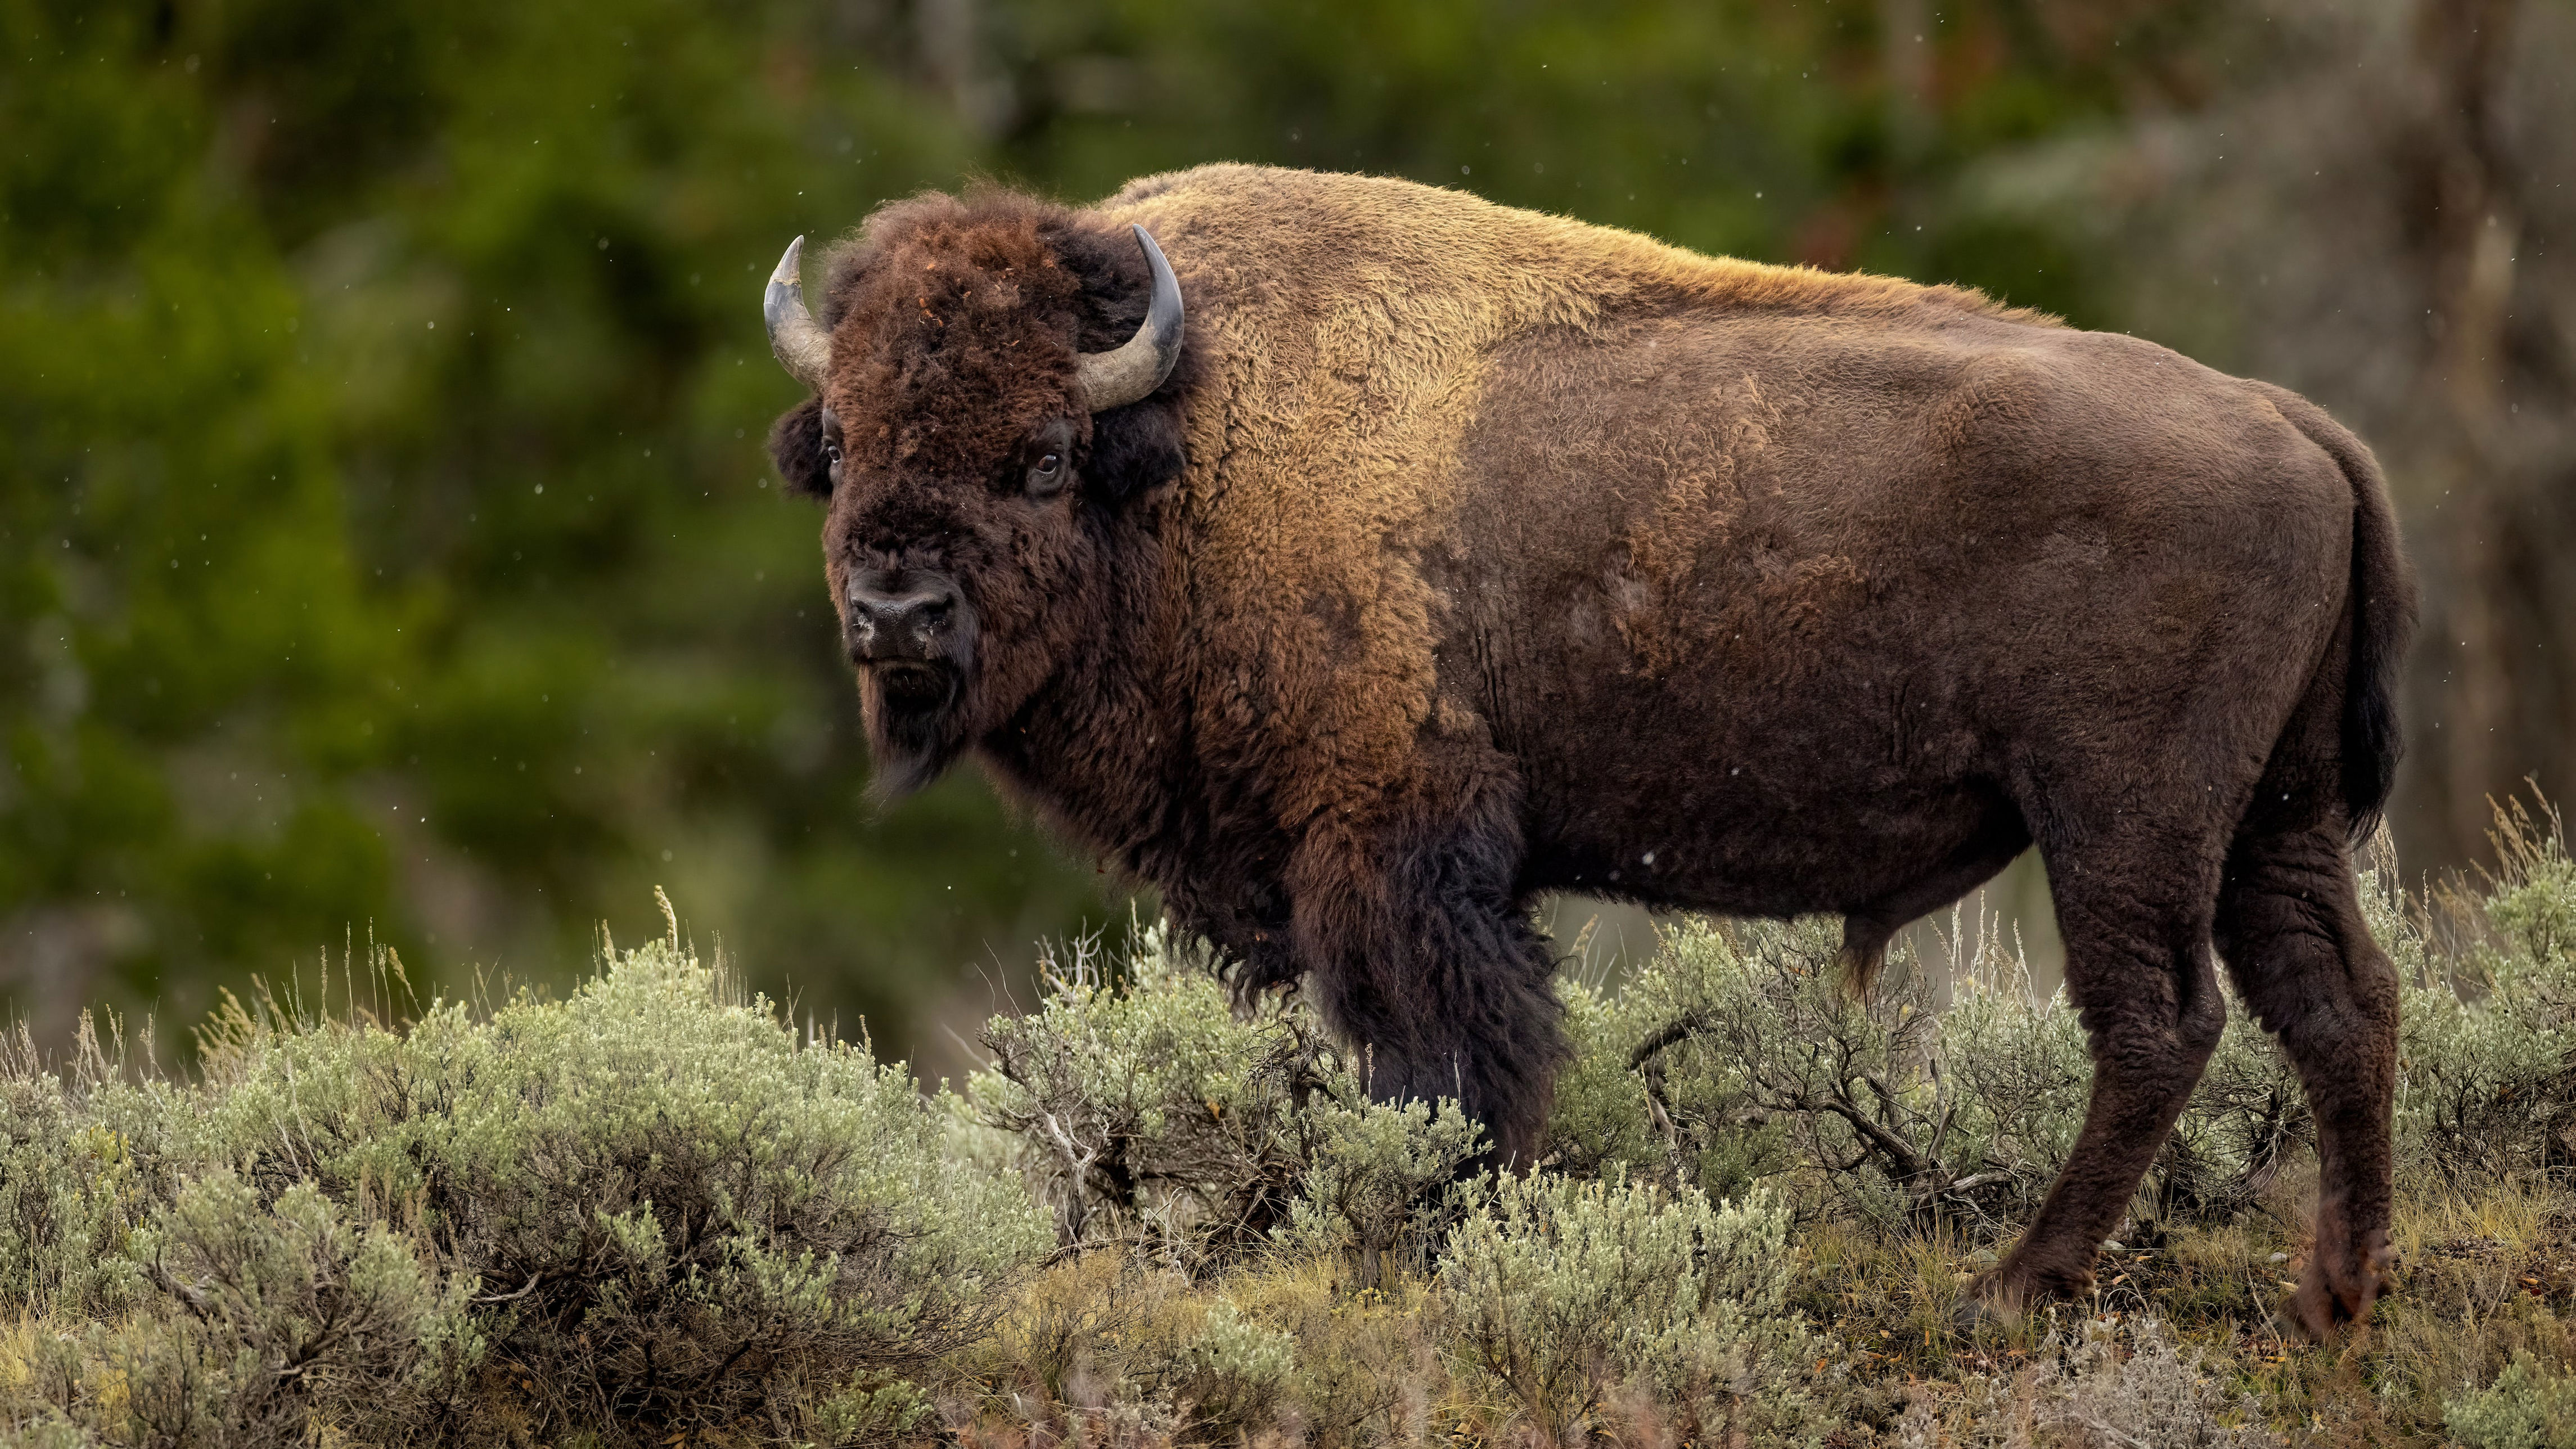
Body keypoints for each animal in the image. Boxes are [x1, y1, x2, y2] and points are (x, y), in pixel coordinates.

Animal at [760, 165, 2415, 1337]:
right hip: (2272, 823)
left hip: (2121, 821)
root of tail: (2291, 421)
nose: (895, 612)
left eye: (1040, 454)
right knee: (2339, 1005)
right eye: (839, 441)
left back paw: (2013, 1290)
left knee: (2160, 1025)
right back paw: (2332, 1297)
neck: (1192, 439)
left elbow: (1443, 1060)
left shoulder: (1391, 845)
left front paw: (1425, 1235)